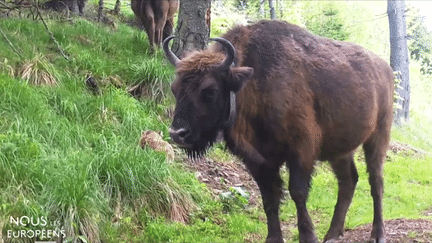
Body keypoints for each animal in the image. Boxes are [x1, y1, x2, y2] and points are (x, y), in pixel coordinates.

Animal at [164, 19, 394, 242]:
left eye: (210, 90)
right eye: (175, 89)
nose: (177, 134)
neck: (255, 82)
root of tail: (386, 69)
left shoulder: (301, 152)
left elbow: (297, 193)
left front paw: (308, 236)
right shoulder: (259, 161)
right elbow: (269, 198)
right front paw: (273, 238)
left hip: (378, 137)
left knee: (376, 182)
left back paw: (378, 234)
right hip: (340, 151)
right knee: (348, 181)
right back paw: (332, 235)